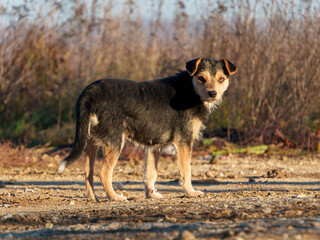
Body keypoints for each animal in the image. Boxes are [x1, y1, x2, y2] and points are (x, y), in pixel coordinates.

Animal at [57, 57, 238, 201]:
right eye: (201, 78)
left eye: (221, 79)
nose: (213, 93)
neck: (190, 89)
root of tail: (89, 93)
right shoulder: (184, 142)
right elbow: (186, 171)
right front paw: (191, 192)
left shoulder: (154, 146)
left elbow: (151, 174)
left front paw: (151, 195)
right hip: (115, 142)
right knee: (103, 173)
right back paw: (114, 197)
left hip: (90, 142)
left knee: (88, 172)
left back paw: (93, 198)